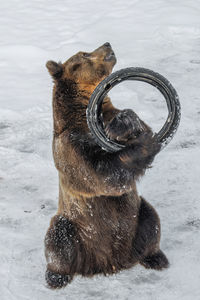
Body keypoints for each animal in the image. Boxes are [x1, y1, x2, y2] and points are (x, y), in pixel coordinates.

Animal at [44, 42, 168, 288]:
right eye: (84, 54)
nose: (107, 44)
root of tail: (110, 263)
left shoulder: (108, 112)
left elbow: (137, 123)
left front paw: (128, 121)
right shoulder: (71, 146)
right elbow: (101, 175)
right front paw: (142, 144)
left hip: (137, 218)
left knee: (151, 221)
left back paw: (156, 258)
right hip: (75, 228)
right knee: (58, 238)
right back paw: (56, 277)